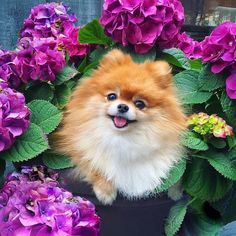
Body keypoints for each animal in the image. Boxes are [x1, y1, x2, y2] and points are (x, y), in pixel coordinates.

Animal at [53, 49, 186, 205]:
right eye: (112, 96)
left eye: (139, 104)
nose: (122, 106)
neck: (122, 138)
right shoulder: (78, 148)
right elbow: (94, 166)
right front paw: (105, 192)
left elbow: (171, 173)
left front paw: (175, 191)